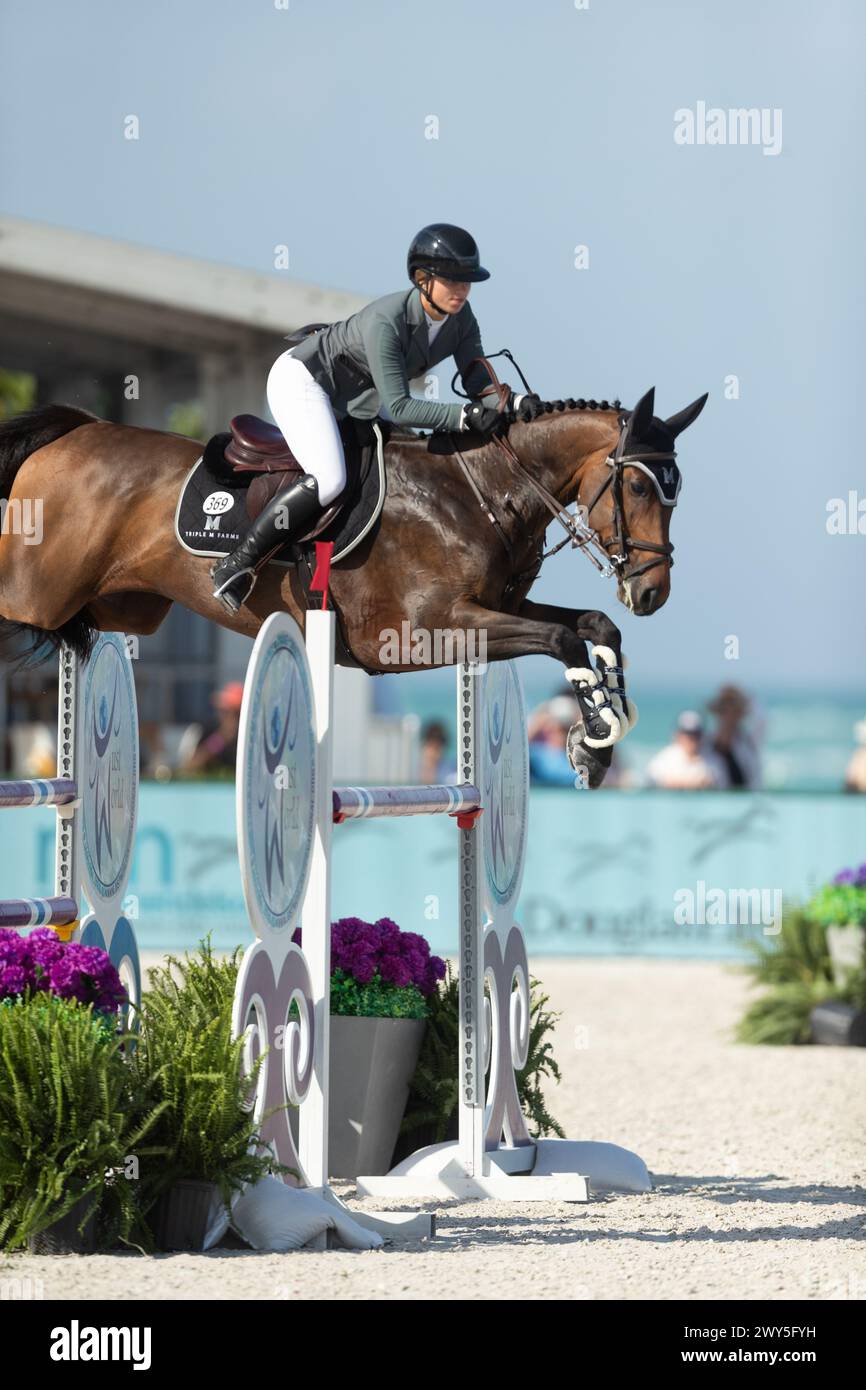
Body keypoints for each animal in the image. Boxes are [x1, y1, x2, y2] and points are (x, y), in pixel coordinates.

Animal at [0, 386, 706, 789]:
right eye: (639, 486)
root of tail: (75, 431)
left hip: (120, 608)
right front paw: (596, 736)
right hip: (35, 594)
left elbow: (591, 627)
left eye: (677, 492)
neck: (477, 492)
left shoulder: (495, 609)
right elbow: (562, 638)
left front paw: (595, 744)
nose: (653, 594)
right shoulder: (418, 634)